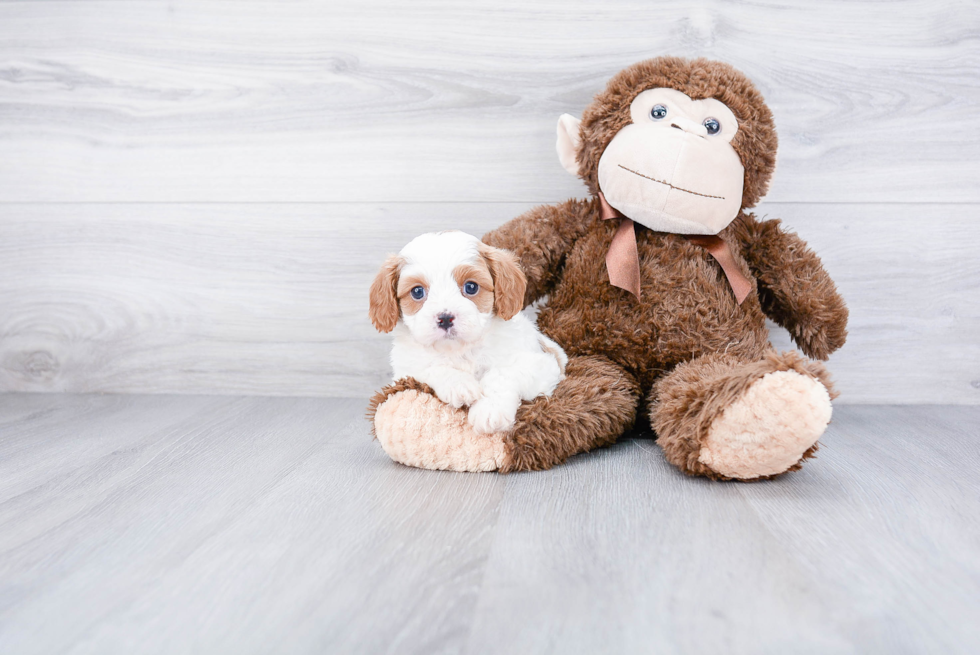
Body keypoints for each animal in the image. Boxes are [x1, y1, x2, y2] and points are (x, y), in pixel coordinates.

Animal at [368, 231, 568, 436]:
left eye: (471, 287)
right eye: (417, 292)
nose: (445, 318)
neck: (460, 350)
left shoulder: (542, 365)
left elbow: (501, 373)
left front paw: (490, 410)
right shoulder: (404, 371)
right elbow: (431, 368)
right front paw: (459, 385)